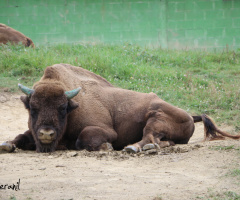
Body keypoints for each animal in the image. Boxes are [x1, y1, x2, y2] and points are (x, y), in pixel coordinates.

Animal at [0, 64, 239, 153]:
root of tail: (189, 115)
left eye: (62, 108)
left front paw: (105, 146)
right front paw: (7, 145)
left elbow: (84, 139)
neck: (73, 107)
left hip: (156, 116)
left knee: (148, 136)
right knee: (162, 141)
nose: (46, 133)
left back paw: (133, 148)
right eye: (32, 108)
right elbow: (22, 136)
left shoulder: (105, 130)